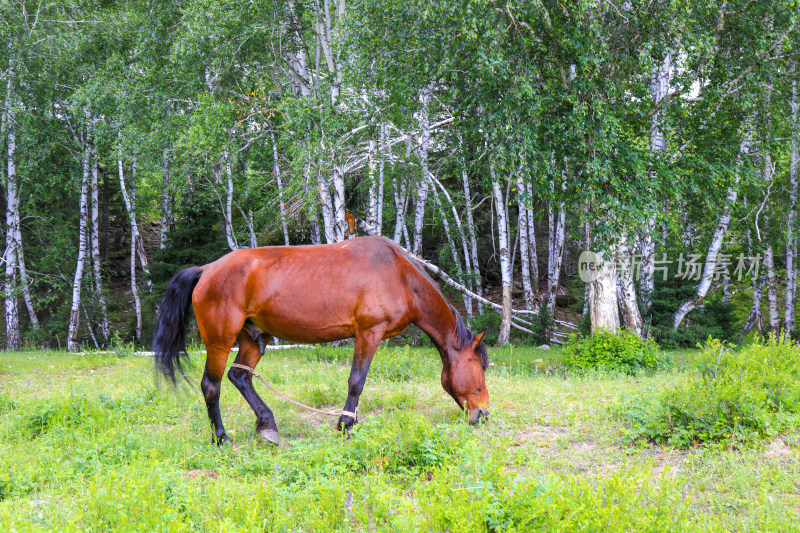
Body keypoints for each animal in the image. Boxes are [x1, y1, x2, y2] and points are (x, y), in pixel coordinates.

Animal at [150, 235, 488, 442]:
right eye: (480, 369)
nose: (483, 414)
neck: (399, 277)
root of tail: (206, 270)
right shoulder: (369, 333)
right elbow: (356, 381)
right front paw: (345, 426)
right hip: (220, 342)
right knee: (212, 386)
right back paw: (221, 439)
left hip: (254, 338)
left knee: (240, 377)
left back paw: (268, 426)